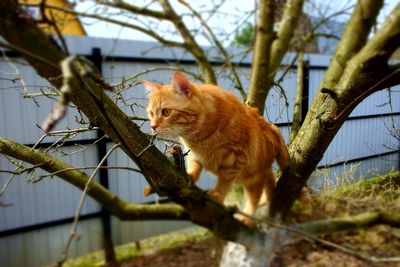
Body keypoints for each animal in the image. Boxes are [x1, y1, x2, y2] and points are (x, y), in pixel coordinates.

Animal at [142, 71, 290, 226]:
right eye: (151, 113)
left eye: (166, 112)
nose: (153, 126)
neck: (199, 137)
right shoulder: (193, 154)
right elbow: (194, 165)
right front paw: (189, 175)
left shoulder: (236, 158)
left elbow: (224, 182)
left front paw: (218, 195)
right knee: (269, 180)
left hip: (255, 176)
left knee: (255, 197)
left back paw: (247, 217)